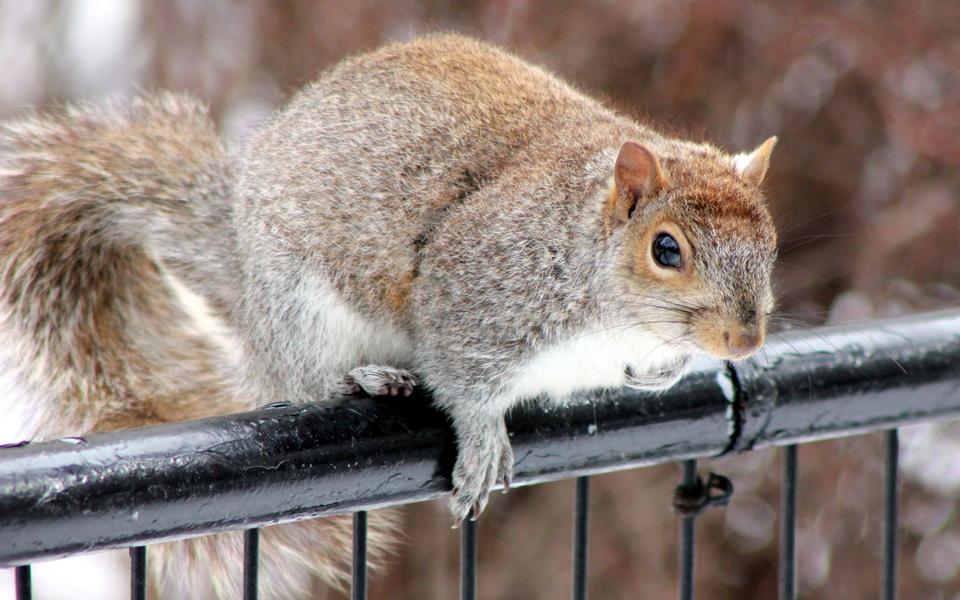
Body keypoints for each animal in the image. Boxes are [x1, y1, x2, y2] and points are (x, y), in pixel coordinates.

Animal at [0, 34, 776, 600]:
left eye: (770, 241)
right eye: (666, 249)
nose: (744, 339)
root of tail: (241, 264)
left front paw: (663, 372)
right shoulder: (477, 290)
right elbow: (464, 377)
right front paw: (482, 441)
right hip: (300, 311)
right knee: (300, 382)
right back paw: (368, 379)